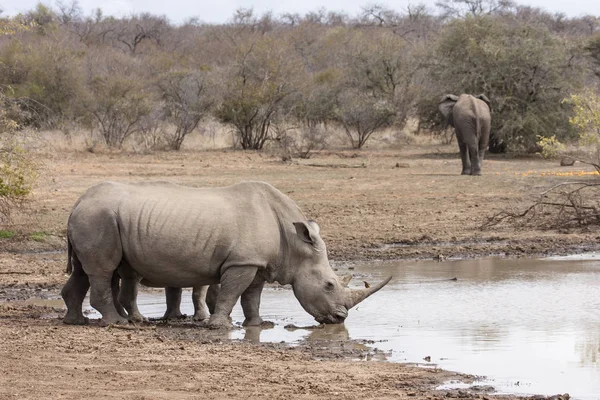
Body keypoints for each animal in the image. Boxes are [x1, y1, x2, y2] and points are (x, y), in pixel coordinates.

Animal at [61, 181, 390, 328]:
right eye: (329, 285)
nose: (339, 318)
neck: (295, 244)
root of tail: (78, 202)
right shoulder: (241, 262)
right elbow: (232, 292)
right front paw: (219, 326)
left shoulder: (257, 263)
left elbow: (252, 296)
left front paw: (258, 325)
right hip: (99, 218)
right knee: (103, 271)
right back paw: (118, 323)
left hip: (95, 218)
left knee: (84, 271)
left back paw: (76, 321)